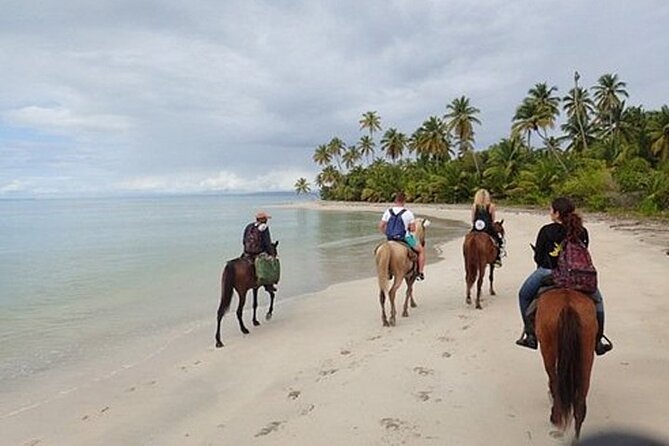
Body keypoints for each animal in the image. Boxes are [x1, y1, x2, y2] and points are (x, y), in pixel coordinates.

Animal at [536, 290, 596, 440]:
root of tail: (567, 306)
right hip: (587, 353)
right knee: (581, 395)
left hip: (547, 349)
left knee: (554, 380)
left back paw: (555, 417)